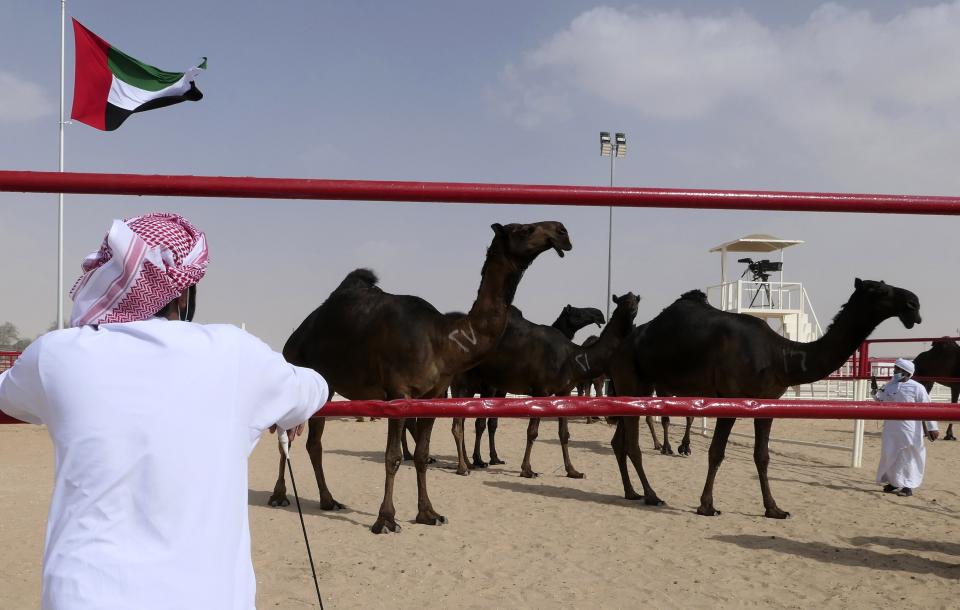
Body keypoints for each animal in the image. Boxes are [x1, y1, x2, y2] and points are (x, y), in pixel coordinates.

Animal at [268, 221, 568, 528]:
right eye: (524, 229)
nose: (561, 232)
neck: (441, 339)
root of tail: (290, 341)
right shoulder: (397, 393)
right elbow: (393, 456)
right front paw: (385, 519)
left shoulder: (432, 396)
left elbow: (423, 455)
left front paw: (428, 513)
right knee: (287, 438)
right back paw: (279, 496)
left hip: (326, 388)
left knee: (313, 444)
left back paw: (328, 501)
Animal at [450, 292, 636, 478]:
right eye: (625, 301)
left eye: (637, 299)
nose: (599, 314)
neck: (572, 357)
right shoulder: (540, 390)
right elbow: (532, 432)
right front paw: (527, 469)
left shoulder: (563, 392)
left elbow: (564, 434)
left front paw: (572, 470)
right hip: (464, 384)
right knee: (459, 425)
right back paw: (464, 467)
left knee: (462, 421)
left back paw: (469, 462)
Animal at [616, 278, 924, 516]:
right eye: (879, 290)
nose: (914, 304)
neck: (781, 356)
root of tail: (624, 342)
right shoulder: (731, 399)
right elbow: (716, 453)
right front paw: (707, 505)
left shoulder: (766, 404)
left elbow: (762, 456)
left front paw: (773, 508)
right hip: (632, 380)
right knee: (632, 444)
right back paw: (651, 494)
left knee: (620, 442)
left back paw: (631, 492)